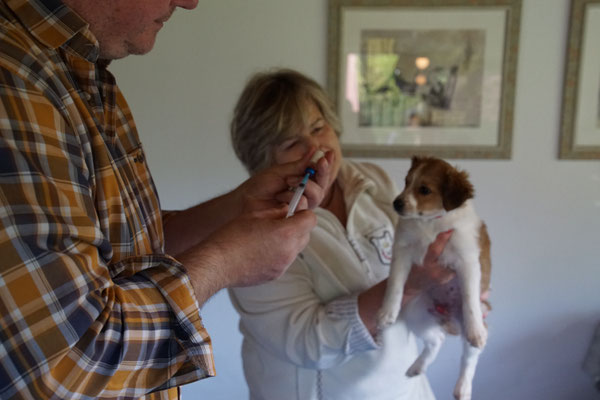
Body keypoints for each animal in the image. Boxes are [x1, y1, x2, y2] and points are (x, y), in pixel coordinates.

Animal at [378, 155, 490, 400]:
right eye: (406, 182)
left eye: (424, 190)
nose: (396, 203)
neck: (430, 222)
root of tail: (448, 318)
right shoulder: (402, 251)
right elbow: (395, 284)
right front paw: (386, 311)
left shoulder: (467, 260)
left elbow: (470, 298)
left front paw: (475, 329)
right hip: (417, 313)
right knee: (436, 340)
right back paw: (416, 366)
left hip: (473, 324)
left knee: (469, 360)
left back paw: (463, 388)